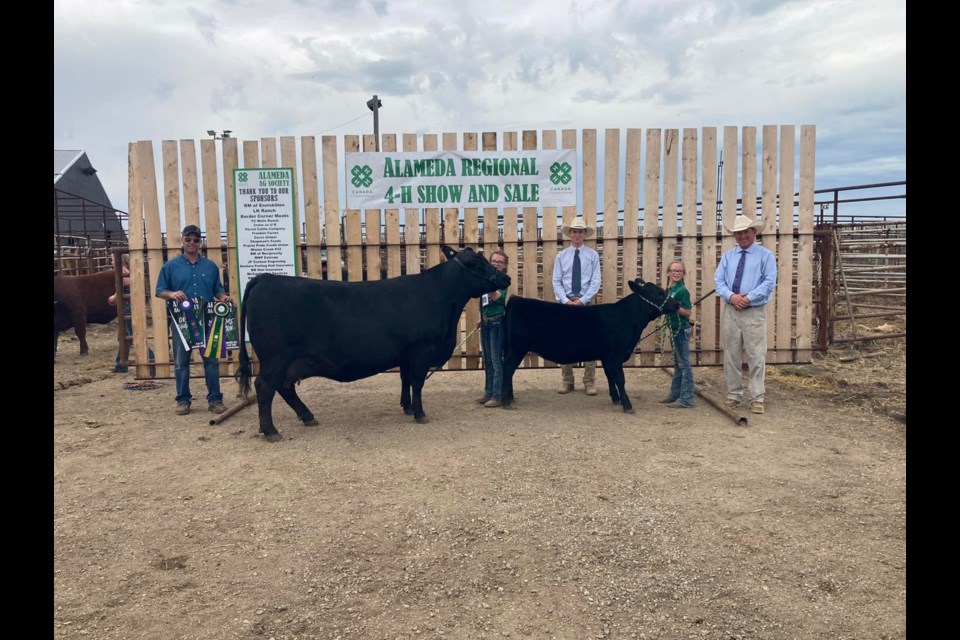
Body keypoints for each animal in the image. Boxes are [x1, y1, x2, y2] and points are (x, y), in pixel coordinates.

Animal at [236, 242, 510, 442]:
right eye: (477, 263)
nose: (505, 278)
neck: (441, 298)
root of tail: (265, 277)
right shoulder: (421, 351)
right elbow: (418, 382)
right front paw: (420, 413)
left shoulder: (406, 355)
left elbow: (406, 380)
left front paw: (407, 407)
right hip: (275, 357)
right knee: (265, 387)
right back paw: (271, 431)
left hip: (289, 361)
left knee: (284, 387)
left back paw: (307, 417)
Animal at [498, 280, 680, 416]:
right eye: (657, 294)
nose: (677, 304)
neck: (626, 318)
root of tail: (516, 299)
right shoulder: (614, 355)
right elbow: (620, 379)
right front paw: (627, 405)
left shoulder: (607, 357)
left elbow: (610, 377)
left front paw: (616, 399)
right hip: (517, 348)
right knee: (507, 369)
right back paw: (506, 401)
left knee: (509, 370)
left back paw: (510, 397)